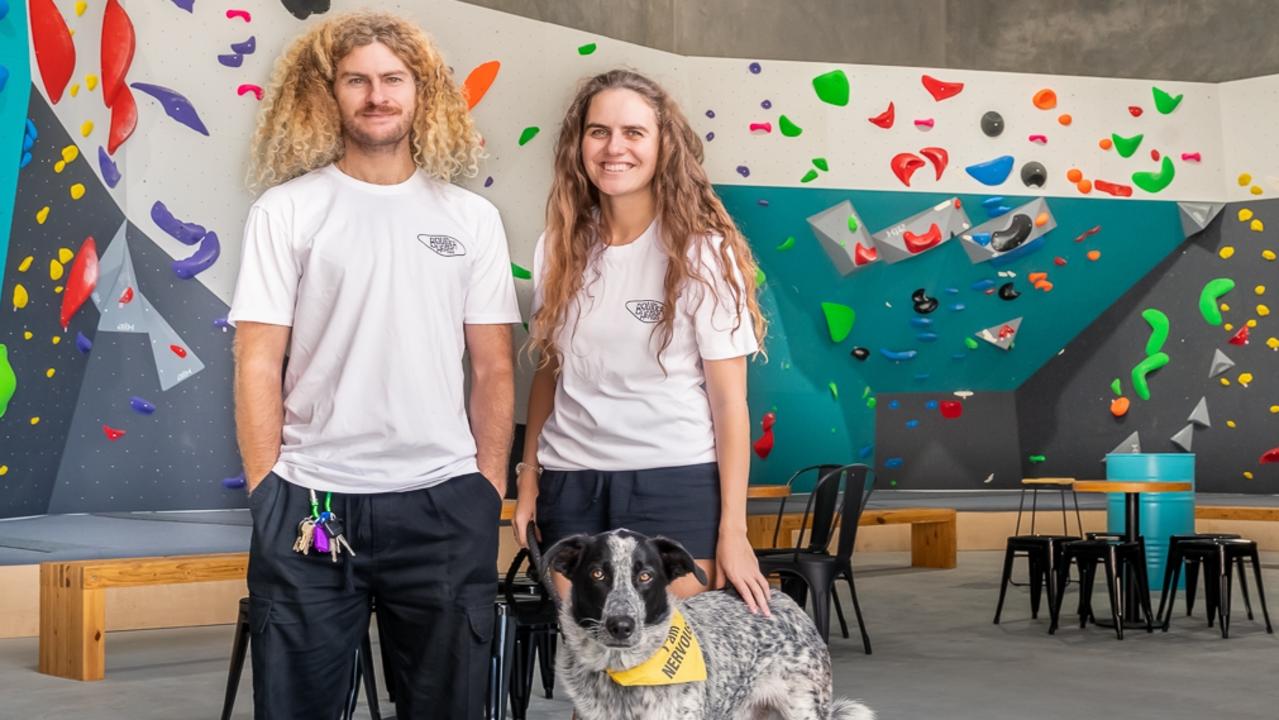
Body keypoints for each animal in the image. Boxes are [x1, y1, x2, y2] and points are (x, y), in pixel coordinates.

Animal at [539, 529, 879, 720]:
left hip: (804, 709)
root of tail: (780, 597)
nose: (621, 625)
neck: (625, 674)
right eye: (597, 574)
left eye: (646, 576)